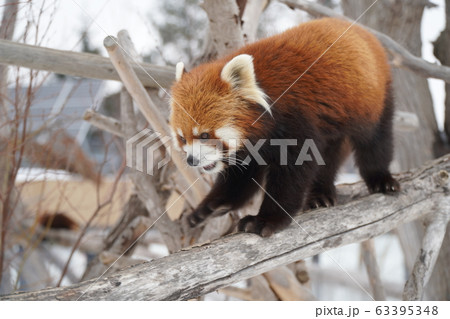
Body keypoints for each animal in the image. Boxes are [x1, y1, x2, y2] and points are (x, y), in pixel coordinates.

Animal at [171, 18, 400, 238]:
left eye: (204, 135)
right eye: (182, 138)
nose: (191, 160)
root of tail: (361, 31)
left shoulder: (296, 121)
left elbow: (291, 175)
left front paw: (265, 220)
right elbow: (241, 176)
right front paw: (210, 207)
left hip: (373, 97)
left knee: (376, 139)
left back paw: (381, 179)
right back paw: (321, 194)